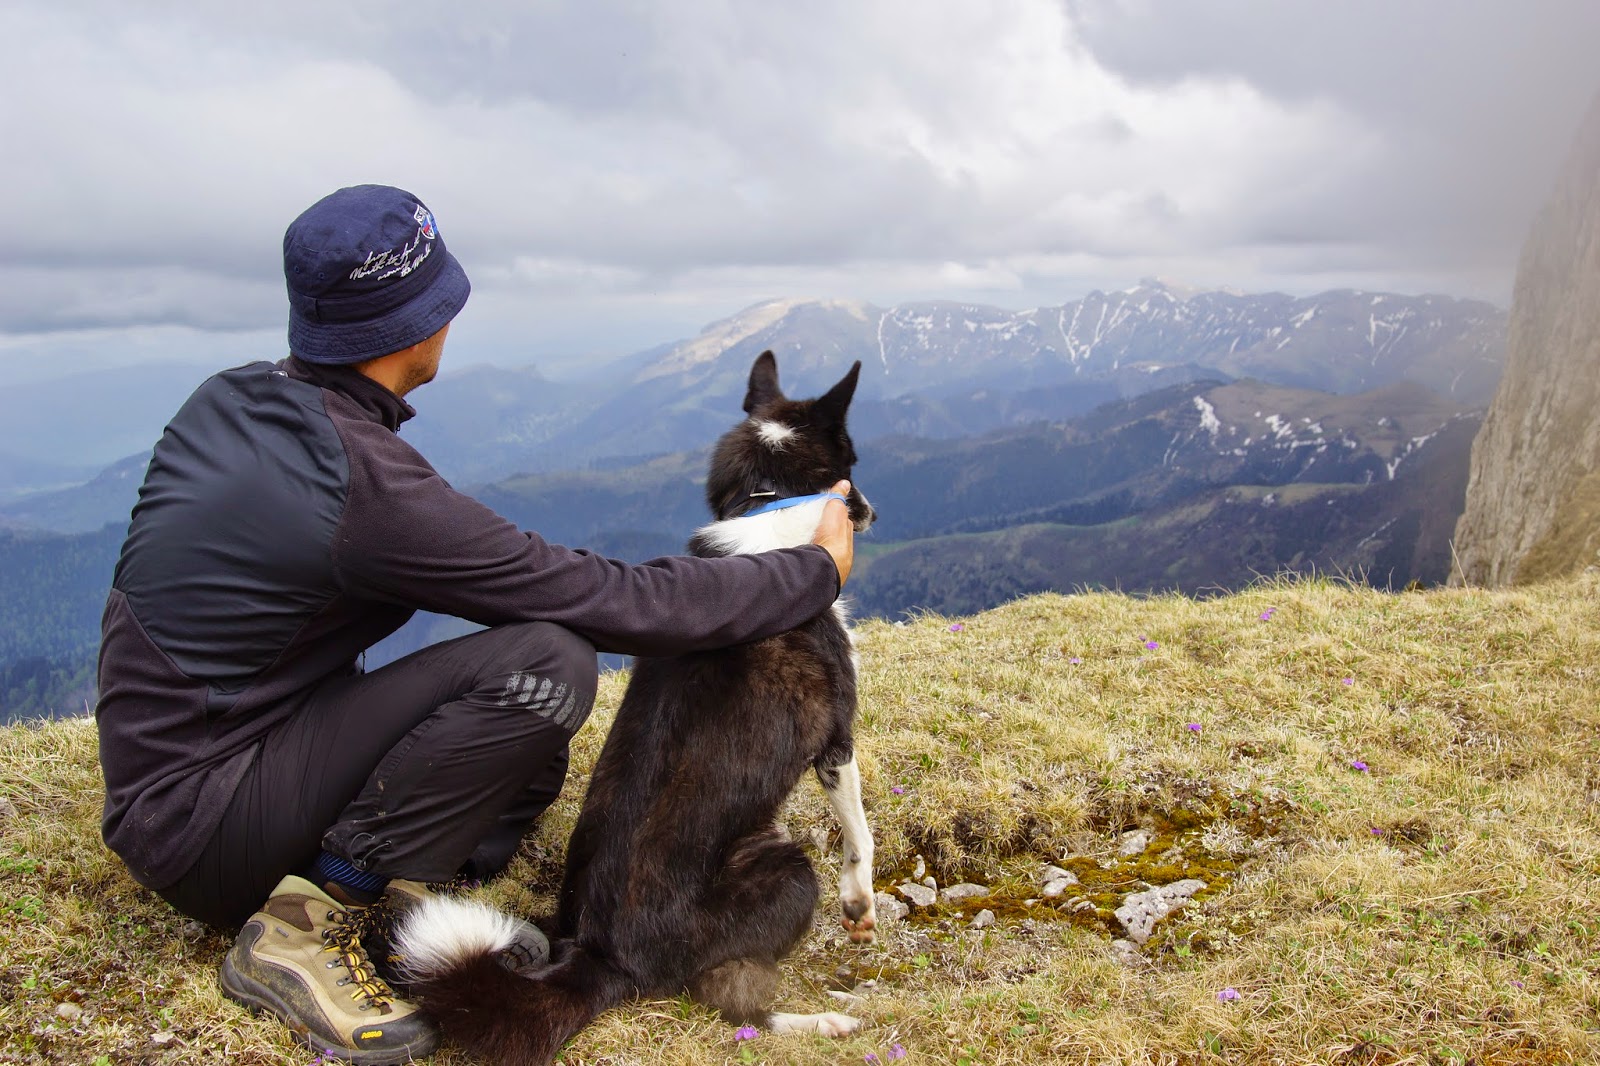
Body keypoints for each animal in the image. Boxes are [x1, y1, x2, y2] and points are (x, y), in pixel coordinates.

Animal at [395, 351, 879, 1064]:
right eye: (854, 461)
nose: (870, 513)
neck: (768, 506)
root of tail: (601, 958)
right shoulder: (836, 740)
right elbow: (859, 835)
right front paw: (861, 905)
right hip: (787, 870)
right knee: (733, 1004)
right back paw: (821, 1021)